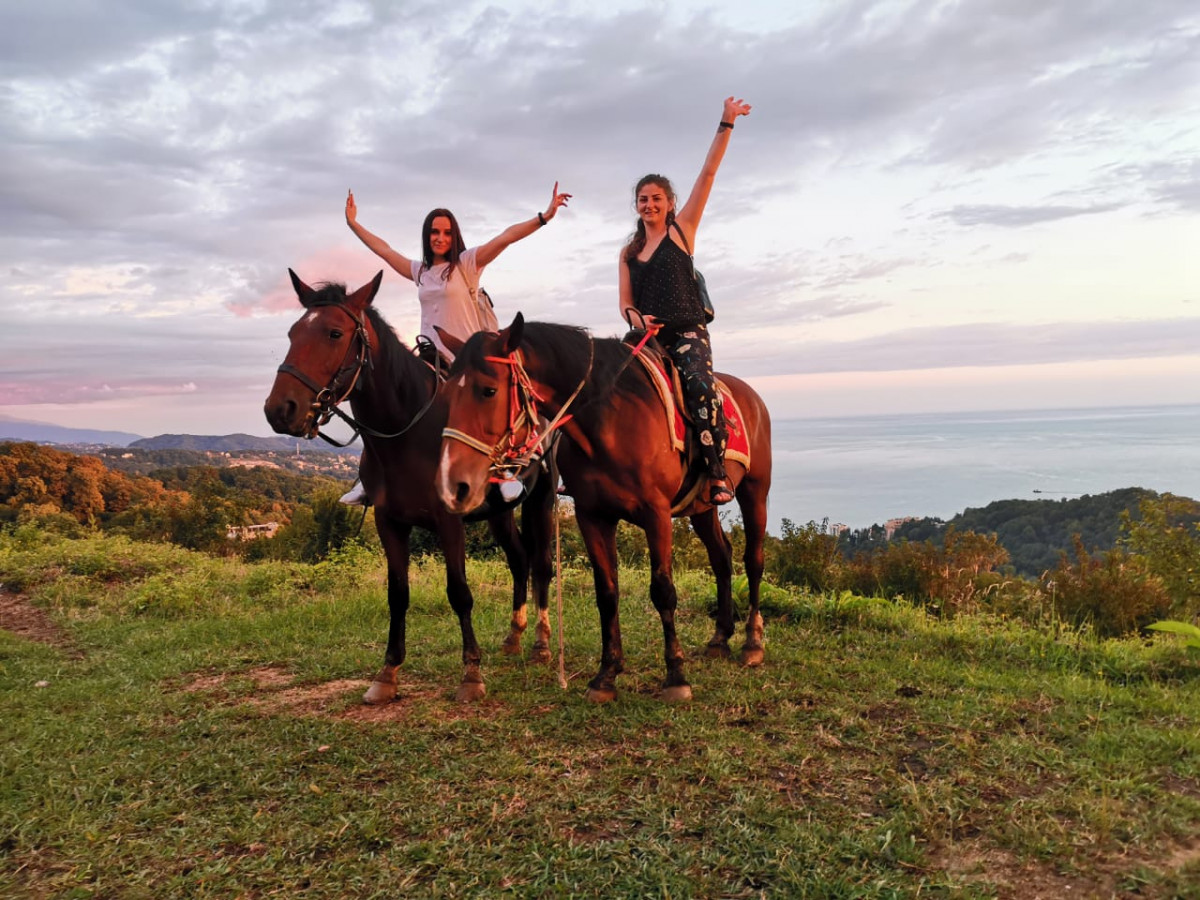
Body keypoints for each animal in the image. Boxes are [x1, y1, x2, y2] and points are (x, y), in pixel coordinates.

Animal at [262, 271, 552, 710]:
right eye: (293, 332)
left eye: (334, 333)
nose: (280, 410)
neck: (407, 433)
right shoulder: (389, 522)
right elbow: (397, 594)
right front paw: (387, 674)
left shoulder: (450, 522)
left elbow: (459, 592)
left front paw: (471, 674)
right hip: (499, 512)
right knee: (519, 560)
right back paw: (513, 637)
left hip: (543, 499)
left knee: (541, 565)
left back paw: (540, 643)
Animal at [436, 316, 772, 705]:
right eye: (446, 396)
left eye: (488, 390)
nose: (452, 482)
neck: (609, 422)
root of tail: (751, 396)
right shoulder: (592, 516)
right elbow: (607, 592)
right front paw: (607, 675)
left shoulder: (656, 514)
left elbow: (663, 591)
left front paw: (676, 675)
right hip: (700, 506)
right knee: (721, 557)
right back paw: (720, 638)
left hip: (755, 491)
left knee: (753, 560)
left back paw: (752, 642)